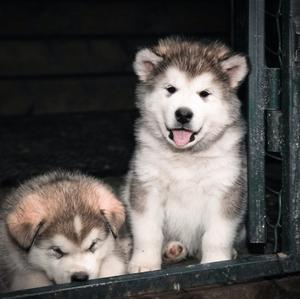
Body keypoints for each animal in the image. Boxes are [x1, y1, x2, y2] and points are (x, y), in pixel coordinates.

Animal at [123, 37, 248, 274]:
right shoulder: (147, 185)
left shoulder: (224, 188)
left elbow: (217, 235)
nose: (183, 114)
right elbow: (147, 232)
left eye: (204, 93)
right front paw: (144, 262)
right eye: (171, 89)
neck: (185, 156)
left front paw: (216, 262)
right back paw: (170, 250)